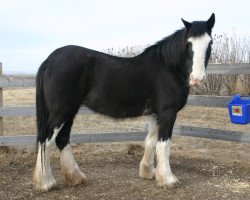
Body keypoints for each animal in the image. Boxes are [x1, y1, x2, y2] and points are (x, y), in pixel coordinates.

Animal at [33, 13, 215, 191]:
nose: (197, 78)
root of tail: (51, 59)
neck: (168, 67)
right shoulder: (167, 112)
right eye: (189, 43)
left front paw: (148, 172)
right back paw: (46, 182)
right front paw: (168, 179)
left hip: (70, 111)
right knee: (46, 140)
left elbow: (151, 140)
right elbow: (164, 144)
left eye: (210, 42)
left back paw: (75, 177)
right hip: (61, 112)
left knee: (62, 139)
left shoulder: (155, 113)